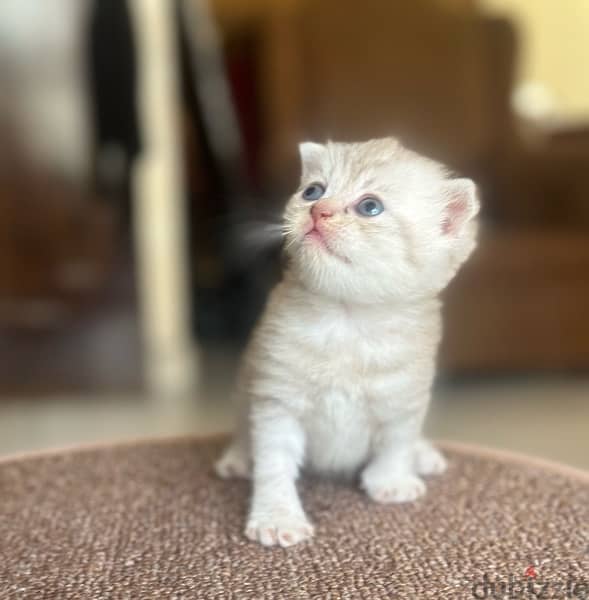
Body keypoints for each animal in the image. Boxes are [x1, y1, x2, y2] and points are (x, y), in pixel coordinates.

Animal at [216, 138, 478, 548]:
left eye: (370, 207)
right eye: (313, 191)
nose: (318, 210)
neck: (348, 321)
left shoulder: (403, 397)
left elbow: (397, 441)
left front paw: (392, 481)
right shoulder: (277, 400)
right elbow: (274, 464)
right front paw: (277, 516)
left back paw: (421, 455)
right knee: (243, 426)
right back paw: (239, 456)